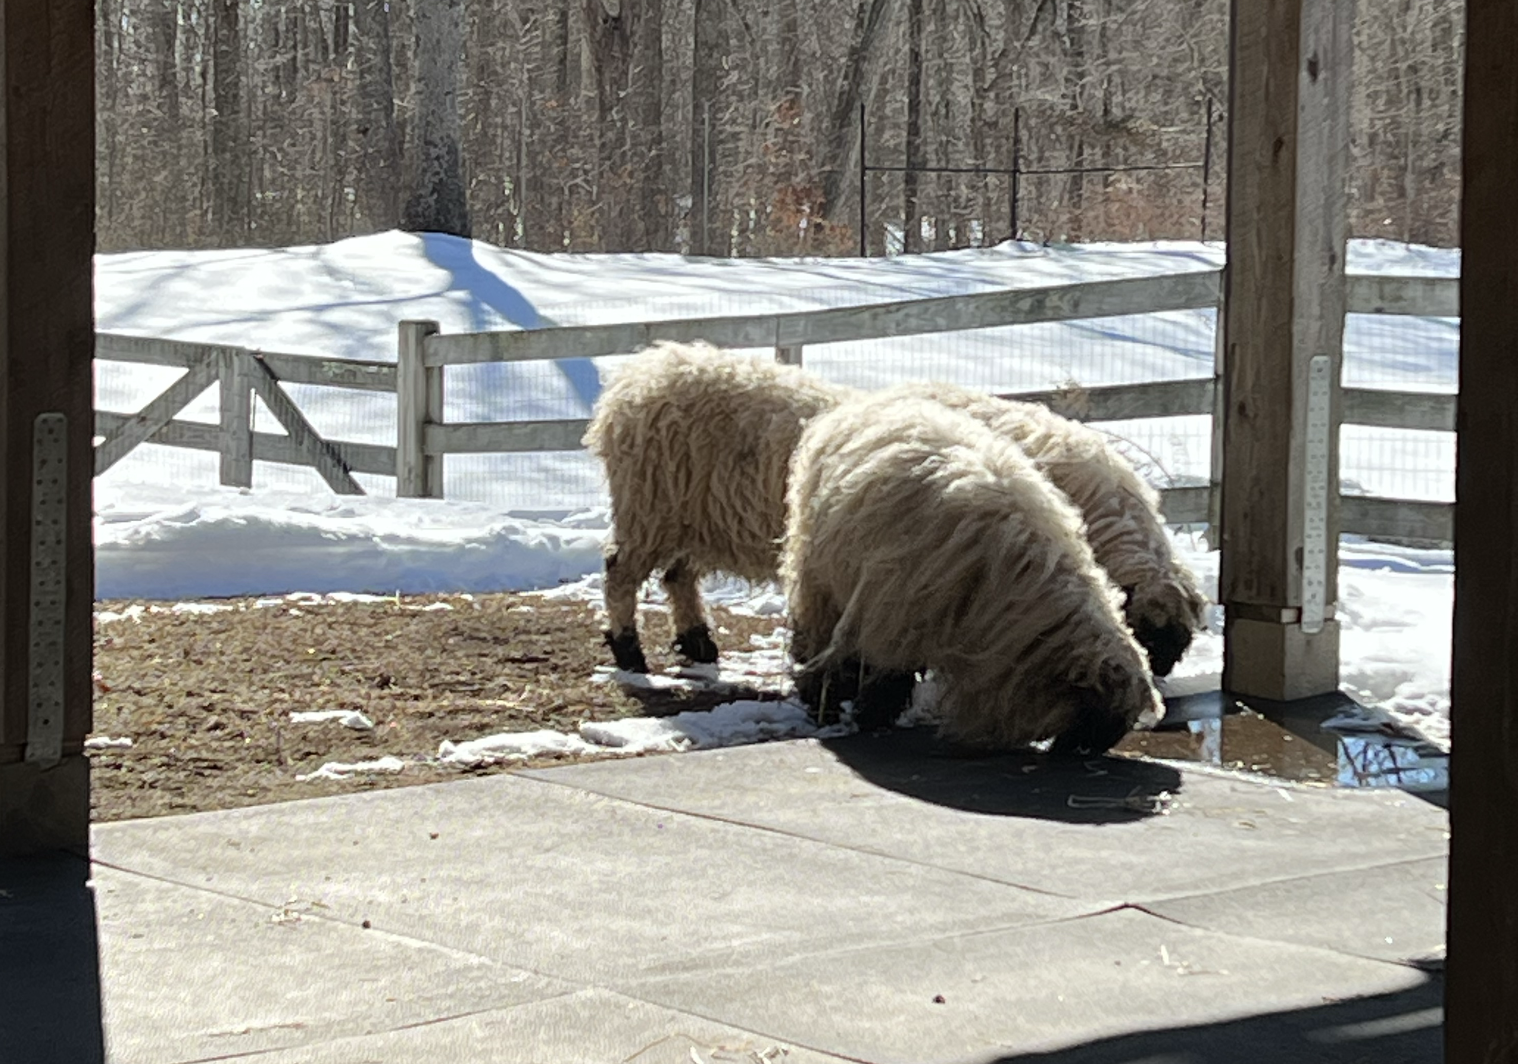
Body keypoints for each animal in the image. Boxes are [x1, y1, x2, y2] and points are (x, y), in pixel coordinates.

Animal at [582, 340, 851, 673]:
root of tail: (639, 377)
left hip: (691, 515)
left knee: (678, 576)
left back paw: (697, 641)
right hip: (649, 507)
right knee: (620, 573)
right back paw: (629, 650)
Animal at [781, 390, 1166, 755]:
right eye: (1098, 714)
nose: (1083, 752)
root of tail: (868, 401)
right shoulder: (895, 616)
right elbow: (883, 670)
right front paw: (867, 714)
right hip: (819, 577)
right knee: (816, 634)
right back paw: (819, 700)